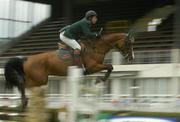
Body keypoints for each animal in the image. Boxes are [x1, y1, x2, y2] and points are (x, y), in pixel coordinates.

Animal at [3, 30, 135, 109]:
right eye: (129, 44)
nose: (131, 58)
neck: (97, 48)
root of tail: (26, 59)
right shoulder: (92, 67)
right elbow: (110, 67)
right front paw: (99, 80)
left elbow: (110, 67)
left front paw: (99, 80)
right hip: (40, 79)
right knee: (22, 84)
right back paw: (24, 101)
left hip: (39, 80)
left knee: (22, 85)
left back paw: (24, 102)